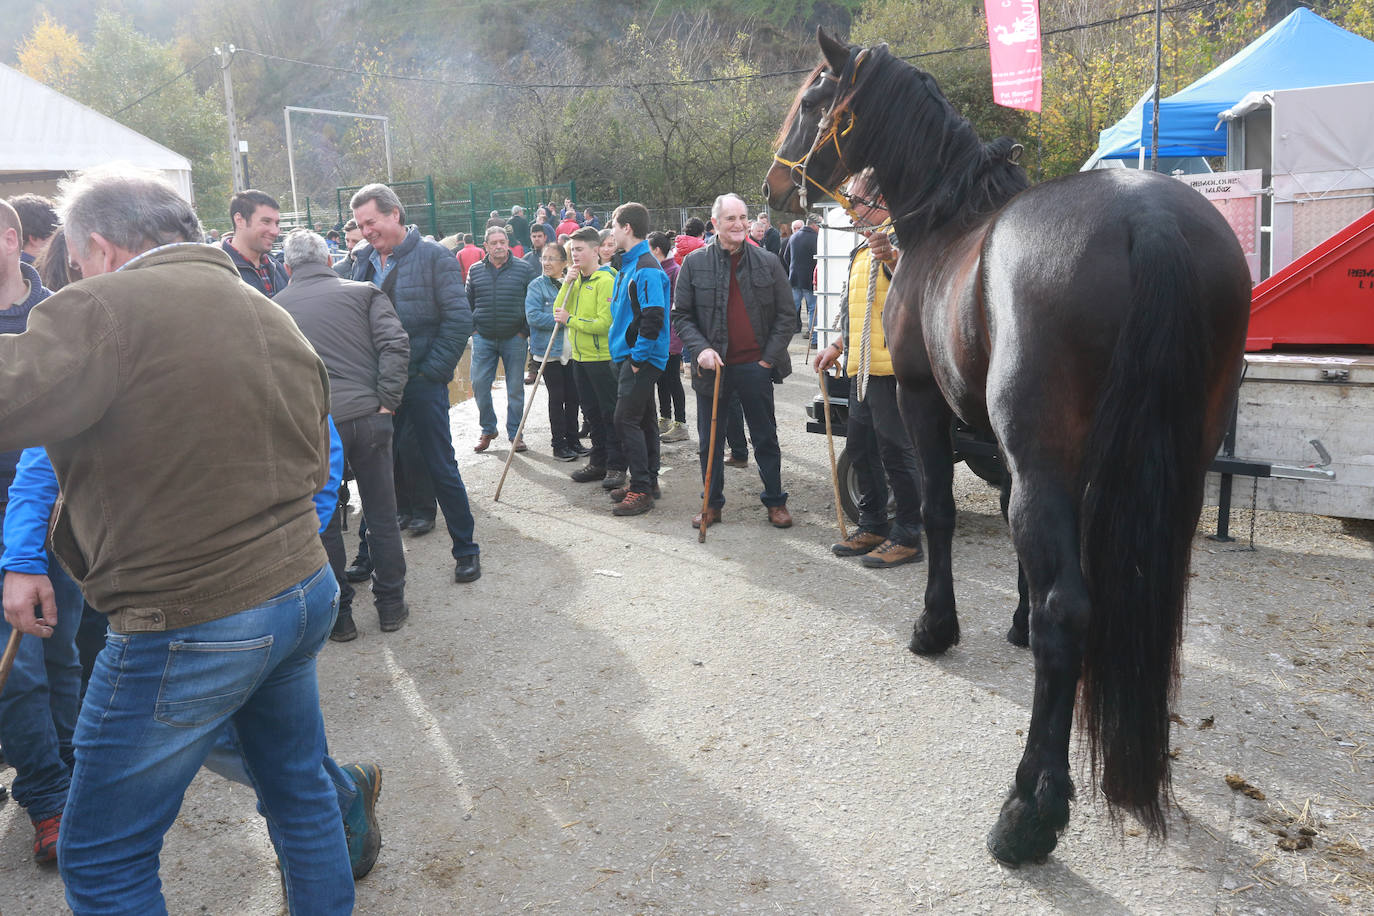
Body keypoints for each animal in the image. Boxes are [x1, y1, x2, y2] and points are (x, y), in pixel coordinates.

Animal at [769, 32, 1253, 867]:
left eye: (811, 99)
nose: (774, 186)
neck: (947, 224)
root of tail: (1149, 217)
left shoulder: (924, 405)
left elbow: (935, 514)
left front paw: (936, 627)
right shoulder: (1018, 456)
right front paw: (1015, 621)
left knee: (1071, 612)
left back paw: (1031, 808)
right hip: (1172, 472)